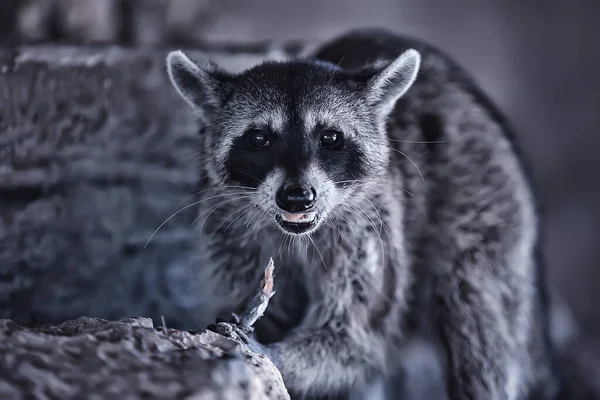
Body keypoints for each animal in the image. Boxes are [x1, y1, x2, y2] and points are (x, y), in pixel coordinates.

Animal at [165, 28, 564, 400]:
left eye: (330, 137)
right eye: (259, 138)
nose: (297, 198)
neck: (297, 235)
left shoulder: (370, 230)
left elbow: (353, 341)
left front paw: (270, 353)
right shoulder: (229, 233)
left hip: (484, 202)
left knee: (477, 315)